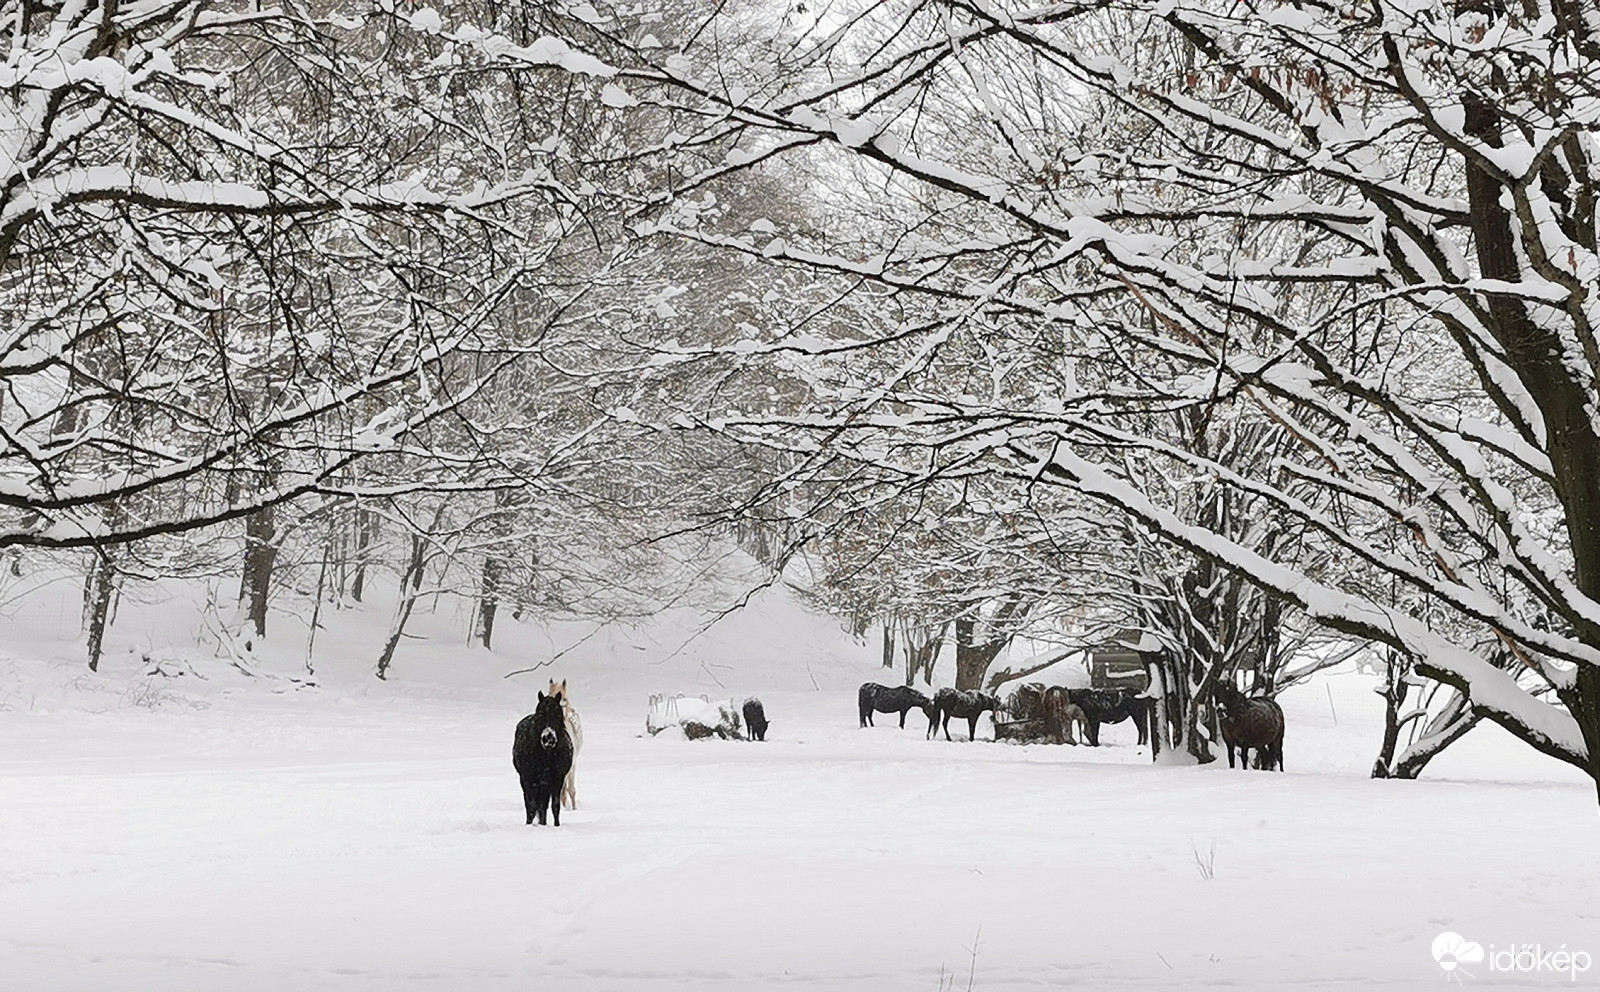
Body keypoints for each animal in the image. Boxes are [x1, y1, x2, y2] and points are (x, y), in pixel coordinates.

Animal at [512, 691, 576, 819]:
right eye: (540, 714)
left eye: (557, 714)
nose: (548, 739)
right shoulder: (527, 780)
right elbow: (531, 807)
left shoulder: (557, 780)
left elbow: (555, 806)